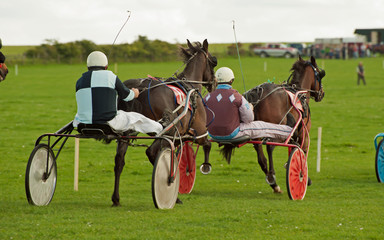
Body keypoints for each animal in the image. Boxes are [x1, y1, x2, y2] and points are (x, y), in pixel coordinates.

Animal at [111, 39, 218, 206]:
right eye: (213, 61)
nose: (214, 82)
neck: (190, 87)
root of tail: (140, 87)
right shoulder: (199, 132)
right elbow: (207, 145)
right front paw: (204, 167)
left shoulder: (181, 136)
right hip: (166, 130)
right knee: (151, 152)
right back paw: (171, 188)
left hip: (127, 132)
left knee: (119, 161)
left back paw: (116, 198)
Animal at [222, 56, 324, 195]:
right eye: (320, 74)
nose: (322, 93)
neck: (298, 92)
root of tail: (260, 95)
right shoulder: (303, 132)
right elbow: (302, 150)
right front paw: (304, 176)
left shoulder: (292, 134)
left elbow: (292, 149)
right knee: (269, 147)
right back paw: (272, 176)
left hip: (257, 133)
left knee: (261, 158)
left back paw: (274, 184)